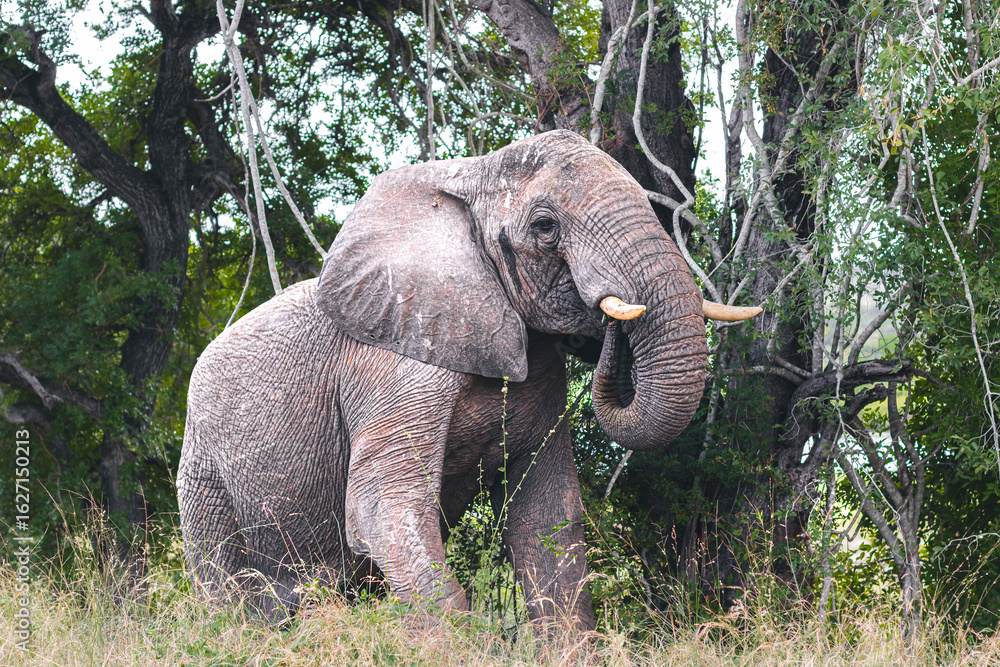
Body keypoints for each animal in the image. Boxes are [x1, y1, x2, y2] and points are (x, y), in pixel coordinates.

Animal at [177, 129, 758, 629]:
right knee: (228, 586)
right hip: (203, 478)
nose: (611, 319)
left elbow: (546, 518)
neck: (472, 177)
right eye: (544, 227)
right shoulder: (393, 364)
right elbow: (382, 508)